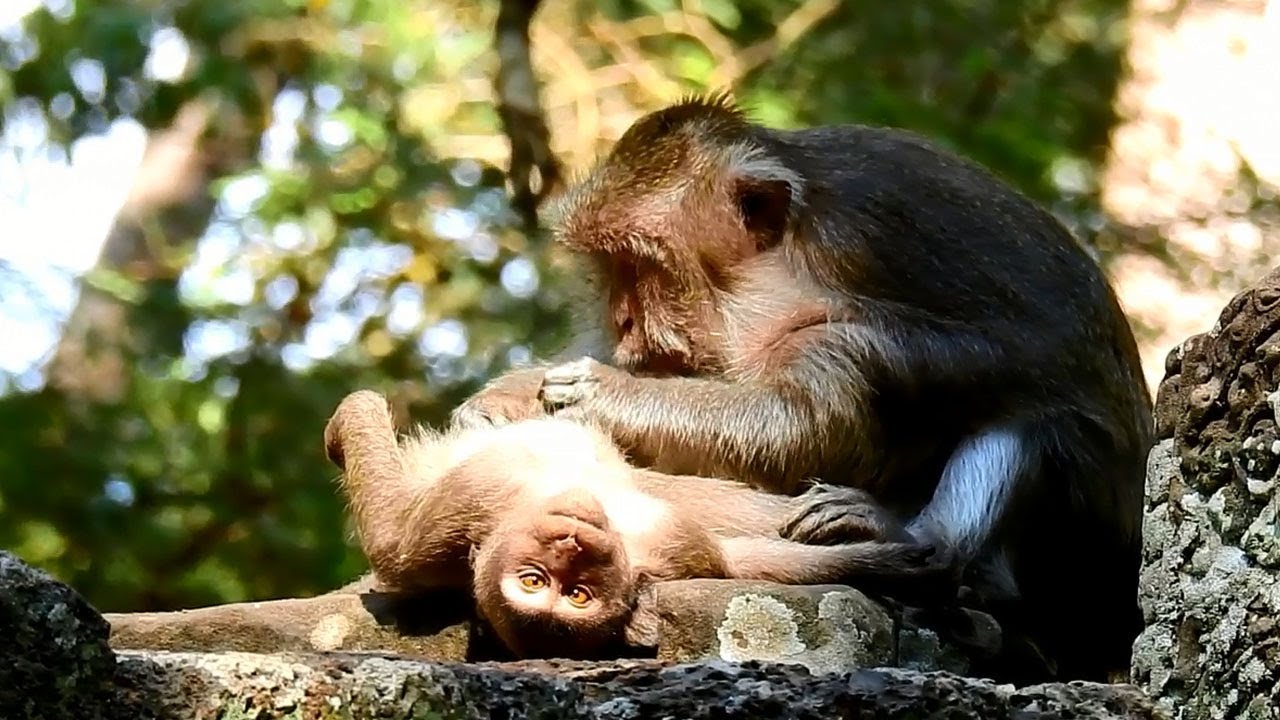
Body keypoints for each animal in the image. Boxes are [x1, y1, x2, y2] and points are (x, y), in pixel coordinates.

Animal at [323, 389, 942, 659]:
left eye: (575, 593)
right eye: (534, 582)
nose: (570, 543)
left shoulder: (674, 548)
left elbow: (740, 560)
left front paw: (887, 559)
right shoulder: (463, 511)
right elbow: (392, 537)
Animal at [449, 93, 1155, 682]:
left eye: (641, 264)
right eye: (609, 270)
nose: (622, 318)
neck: (786, 260)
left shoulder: (860, 249)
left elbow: (810, 417)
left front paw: (600, 396)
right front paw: (503, 403)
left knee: (1037, 421)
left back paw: (925, 547)